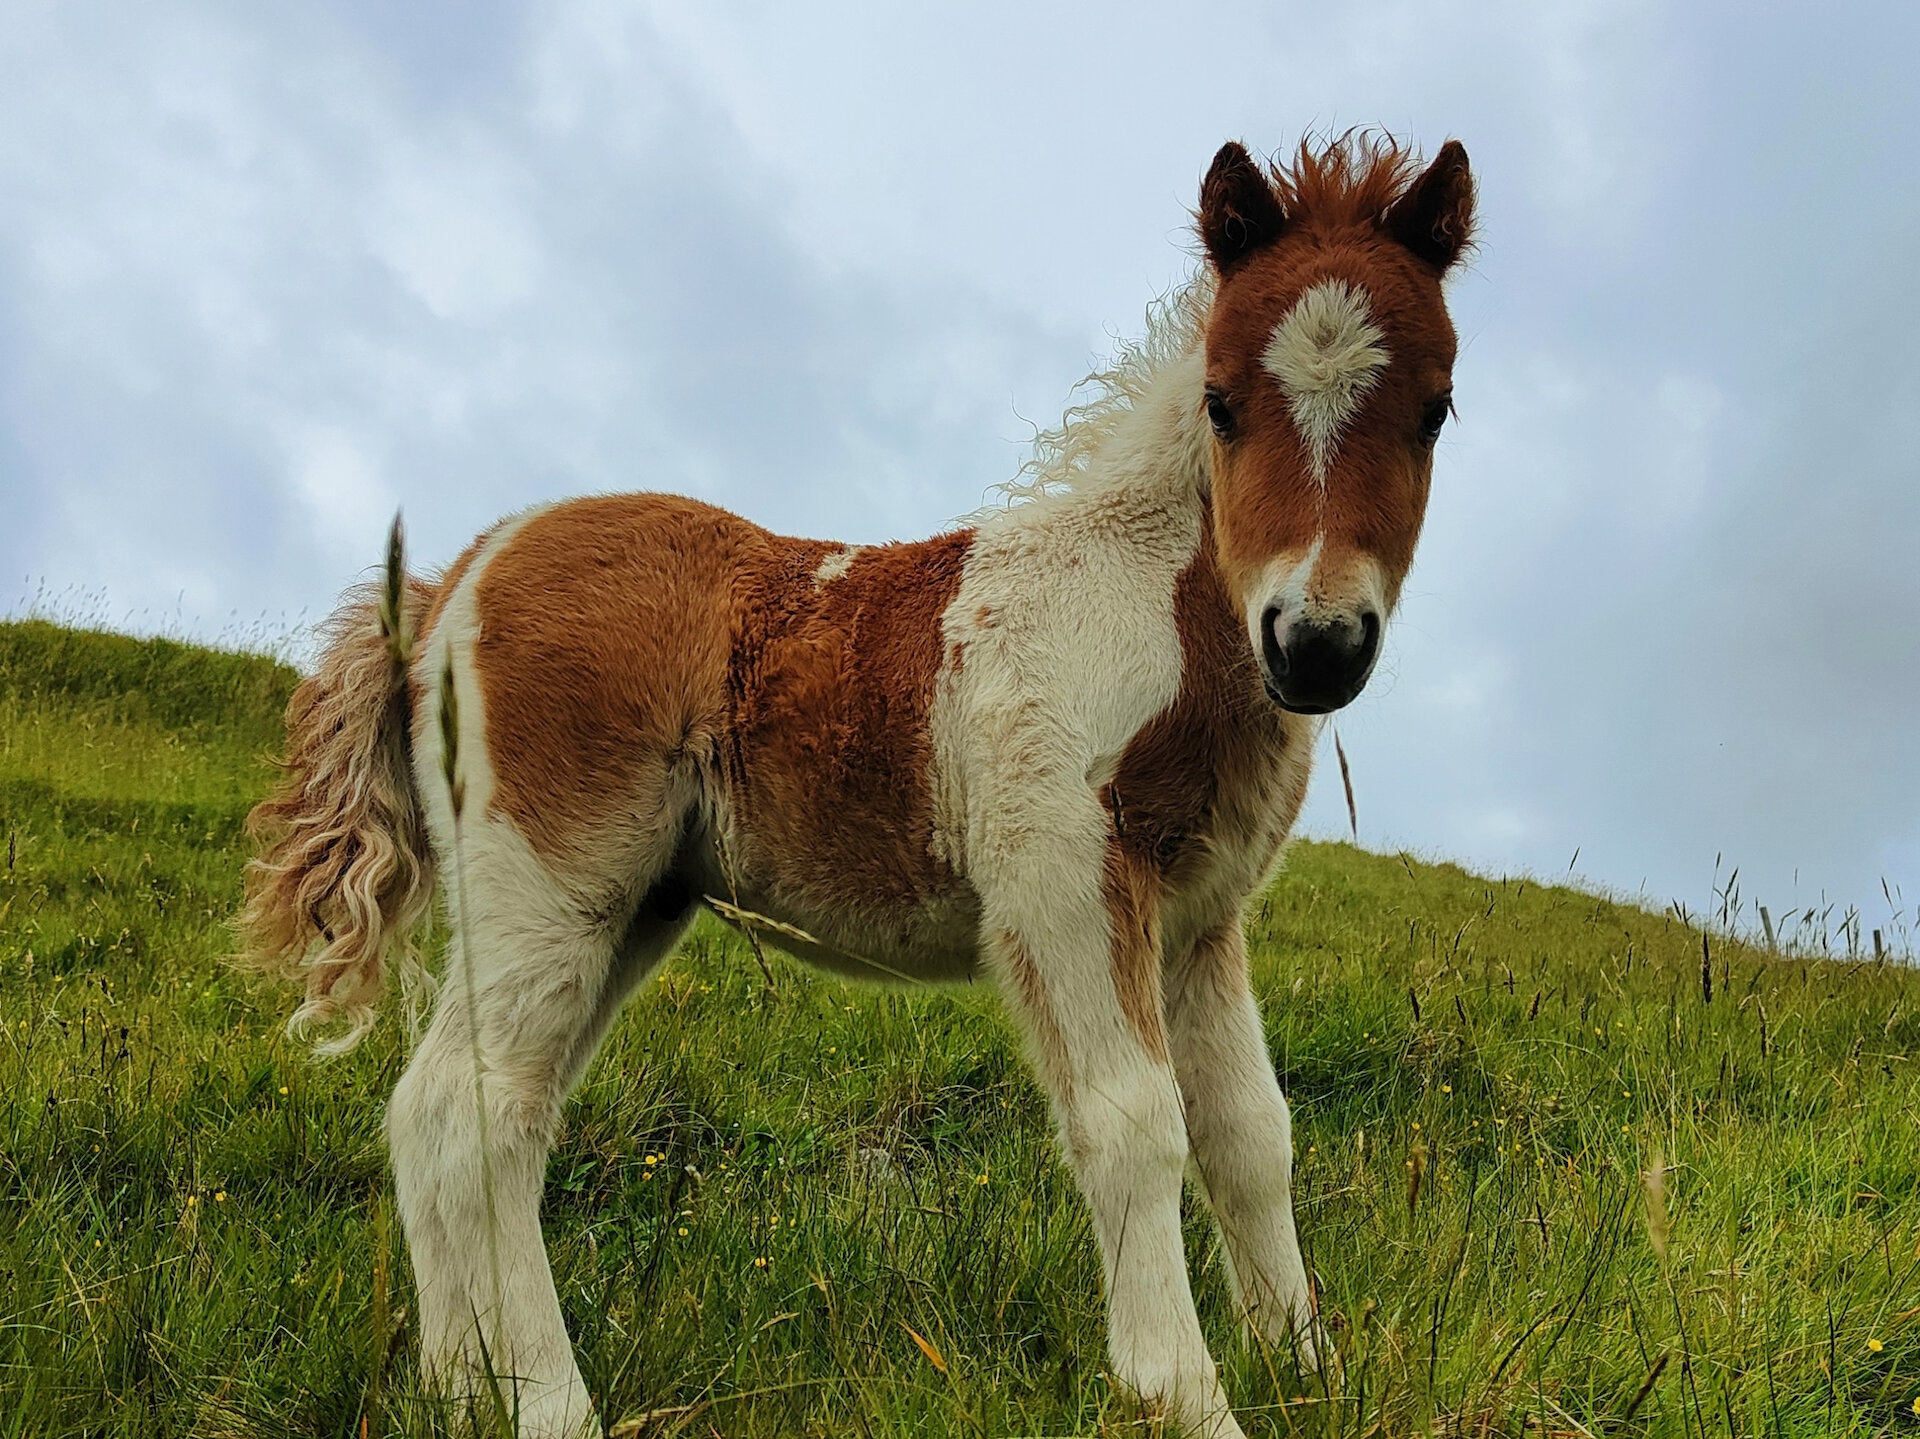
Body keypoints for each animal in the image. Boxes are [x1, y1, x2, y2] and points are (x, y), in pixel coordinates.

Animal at [242, 132, 1475, 1439]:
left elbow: (1250, 1132)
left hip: (631, 907)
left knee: (451, 1114)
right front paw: (1185, 1396)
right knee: (475, 1107)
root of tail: (454, 576)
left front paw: (1310, 1366)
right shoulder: (1064, 881)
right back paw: (550, 1400)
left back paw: (456, 1382)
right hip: (551, 876)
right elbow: (1136, 1124)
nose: (1317, 643)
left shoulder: (1199, 921)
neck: (1155, 615)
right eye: (1223, 403)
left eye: (1435, 408)